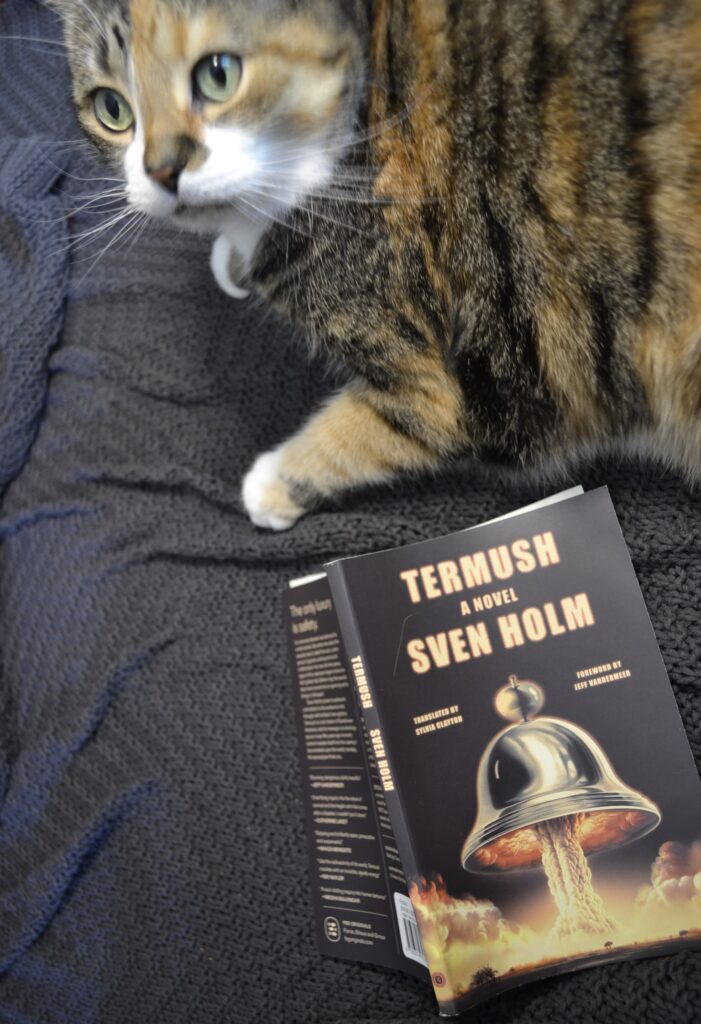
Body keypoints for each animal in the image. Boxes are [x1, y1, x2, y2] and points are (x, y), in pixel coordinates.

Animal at [49, 0, 699, 528]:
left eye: (218, 73)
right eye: (112, 109)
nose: (161, 171)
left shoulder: (445, 383)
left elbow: (368, 430)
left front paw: (268, 488)